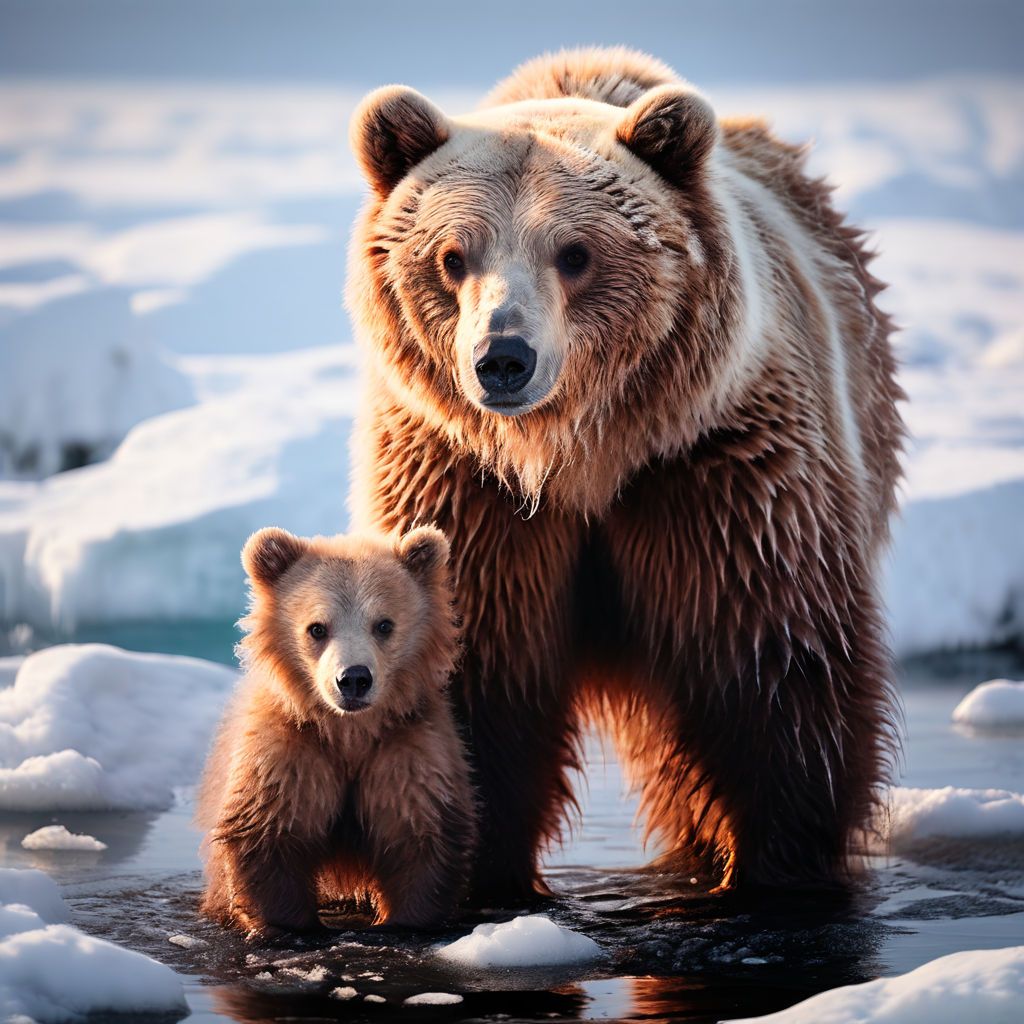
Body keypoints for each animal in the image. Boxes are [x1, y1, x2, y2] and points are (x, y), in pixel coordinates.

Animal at [346, 48, 905, 901]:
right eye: (452, 256)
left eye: (575, 252)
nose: (503, 358)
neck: (577, 455)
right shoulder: (466, 488)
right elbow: (477, 679)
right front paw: (480, 877)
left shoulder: (711, 470)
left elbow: (772, 664)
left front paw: (775, 869)